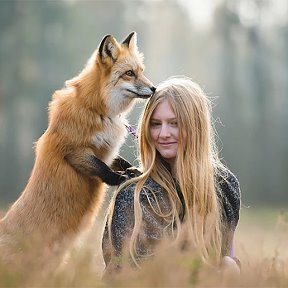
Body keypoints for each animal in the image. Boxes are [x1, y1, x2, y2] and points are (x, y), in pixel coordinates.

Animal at [0, 32, 155, 272]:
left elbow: (118, 162)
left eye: (141, 71)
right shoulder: (72, 150)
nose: (154, 88)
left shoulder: (106, 151)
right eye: (129, 73)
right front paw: (121, 179)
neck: (97, 110)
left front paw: (134, 171)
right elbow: (103, 169)